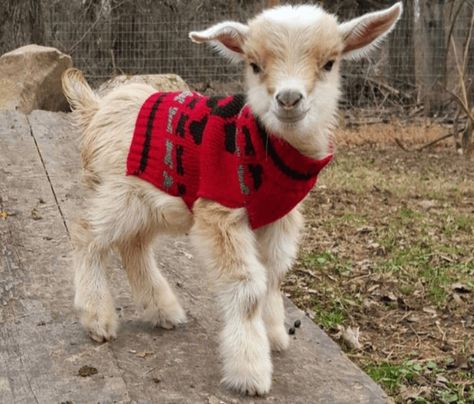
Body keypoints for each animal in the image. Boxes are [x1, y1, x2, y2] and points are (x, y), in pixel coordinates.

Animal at [61, 1, 402, 396]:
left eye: (329, 62)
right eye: (254, 64)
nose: (288, 99)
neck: (267, 146)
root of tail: (97, 109)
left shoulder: (279, 218)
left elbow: (273, 274)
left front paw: (274, 335)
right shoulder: (221, 211)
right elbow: (247, 286)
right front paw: (251, 373)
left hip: (153, 202)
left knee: (133, 245)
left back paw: (163, 310)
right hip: (120, 193)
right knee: (86, 232)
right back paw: (97, 319)